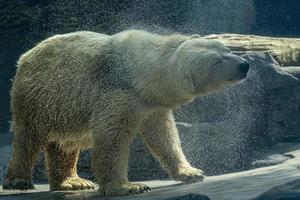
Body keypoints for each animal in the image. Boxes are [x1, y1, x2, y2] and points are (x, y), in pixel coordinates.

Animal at [2, 30, 248, 196]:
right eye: (217, 61)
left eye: (227, 50)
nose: (244, 64)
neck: (142, 71)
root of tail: (25, 56)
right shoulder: (118, 93)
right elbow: (112, 138)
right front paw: (129, 186)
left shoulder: (151, 105)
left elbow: (164, 136)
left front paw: (191, 172)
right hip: (38, 97)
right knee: (28, 137)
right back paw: (18, 181)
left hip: (62, 109)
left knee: (66, 144)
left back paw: (72, 182)